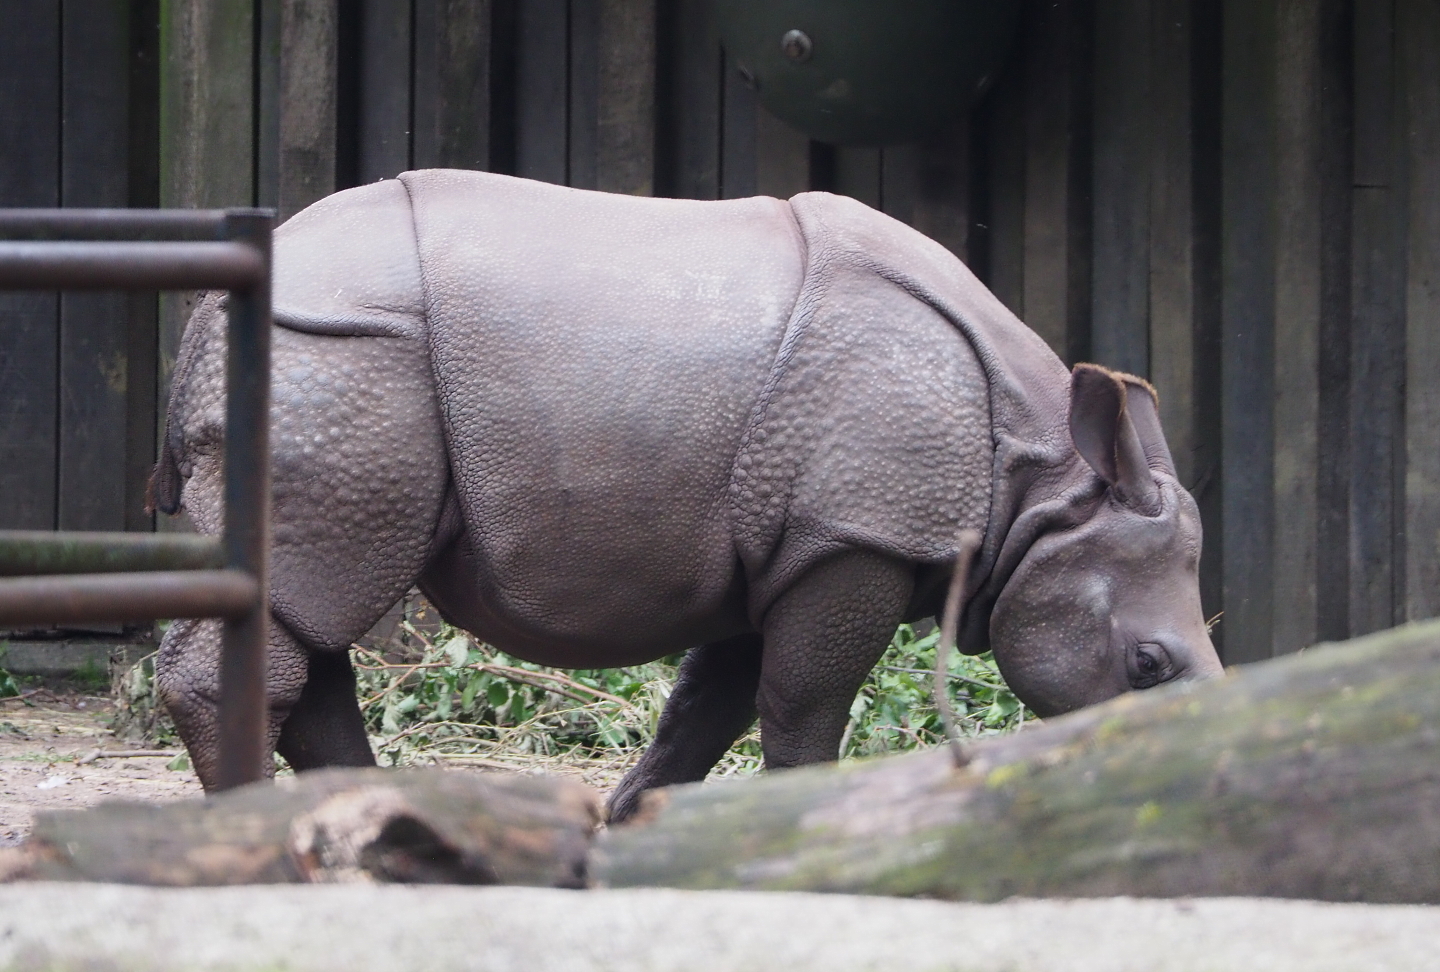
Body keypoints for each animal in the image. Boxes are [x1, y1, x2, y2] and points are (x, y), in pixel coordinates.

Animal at [151, 170, 1222, 820]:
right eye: (1149, 666)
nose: (1175, 764)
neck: (1045, 486)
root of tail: (212, 307)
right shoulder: (850, 537)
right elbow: (804, 704)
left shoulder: (785, 545)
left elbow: (707, 707)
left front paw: (635, 829)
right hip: (339, 363)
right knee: (308, 596)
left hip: (324, 380)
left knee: (306, 609)